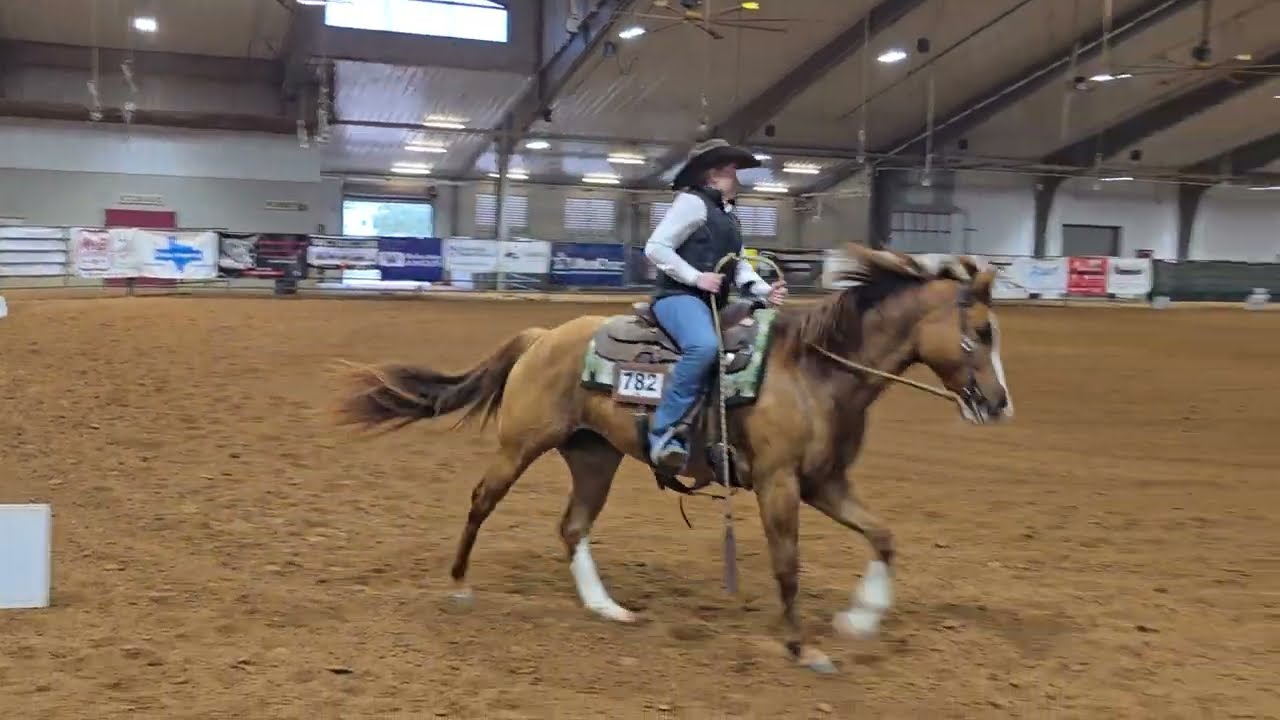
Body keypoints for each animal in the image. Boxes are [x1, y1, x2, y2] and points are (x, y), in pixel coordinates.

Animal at [334, 244, 1014, 674]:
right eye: (980, 333)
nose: (999, 404)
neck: (815, 372)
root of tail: (542, 336)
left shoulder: (824, 482)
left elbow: (883, 536)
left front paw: (861, 621)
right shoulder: (778, 484)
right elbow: (787, 567)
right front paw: (804, 649)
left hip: (595, 457)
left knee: (572, 526)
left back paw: (606, 607)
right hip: (519, 444)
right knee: (481, 501)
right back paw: (459, 586)